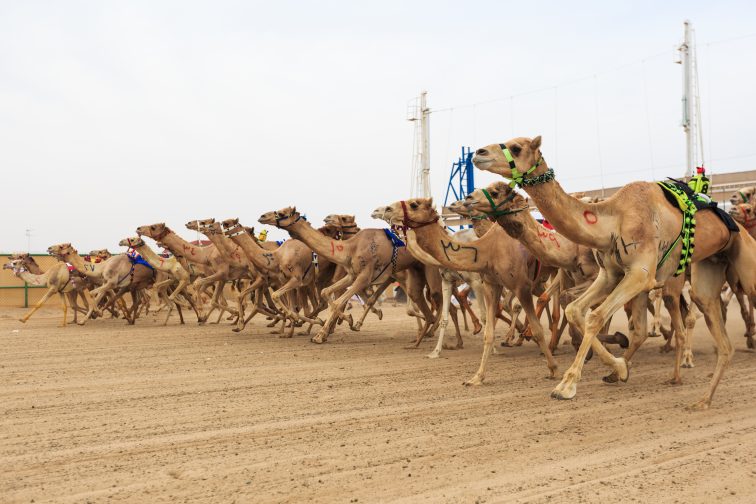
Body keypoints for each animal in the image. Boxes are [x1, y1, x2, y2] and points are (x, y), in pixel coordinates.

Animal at [260, 207, 438, 344]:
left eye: (281, 212)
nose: (262, 216)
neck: (350, 247)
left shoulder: (364, 277)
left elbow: (339, 302)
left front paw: (321, 334)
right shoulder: (352, 275)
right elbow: (327, 293)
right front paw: (343, 322)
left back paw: (430, 330)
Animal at [380, 197, 560, 382]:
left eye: (414, 204)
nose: (387, 209)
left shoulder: (480, 282)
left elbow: (487, 314)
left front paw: (495, 348)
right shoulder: (449, 281)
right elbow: (447, 317)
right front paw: (436, 352)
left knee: (546, 301)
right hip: (539, 279)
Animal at [470, 135, 752, 410]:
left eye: (516, 147)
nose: (478, 153)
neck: (612, 221)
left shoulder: (640, 274)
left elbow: (594, 317)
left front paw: (567, 385)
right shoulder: (611, 275)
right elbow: (575, 310)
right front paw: (619, 367)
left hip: (716, 272)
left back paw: (684, 370)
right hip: (705, 272)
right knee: (690, 326)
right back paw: (701, 397)